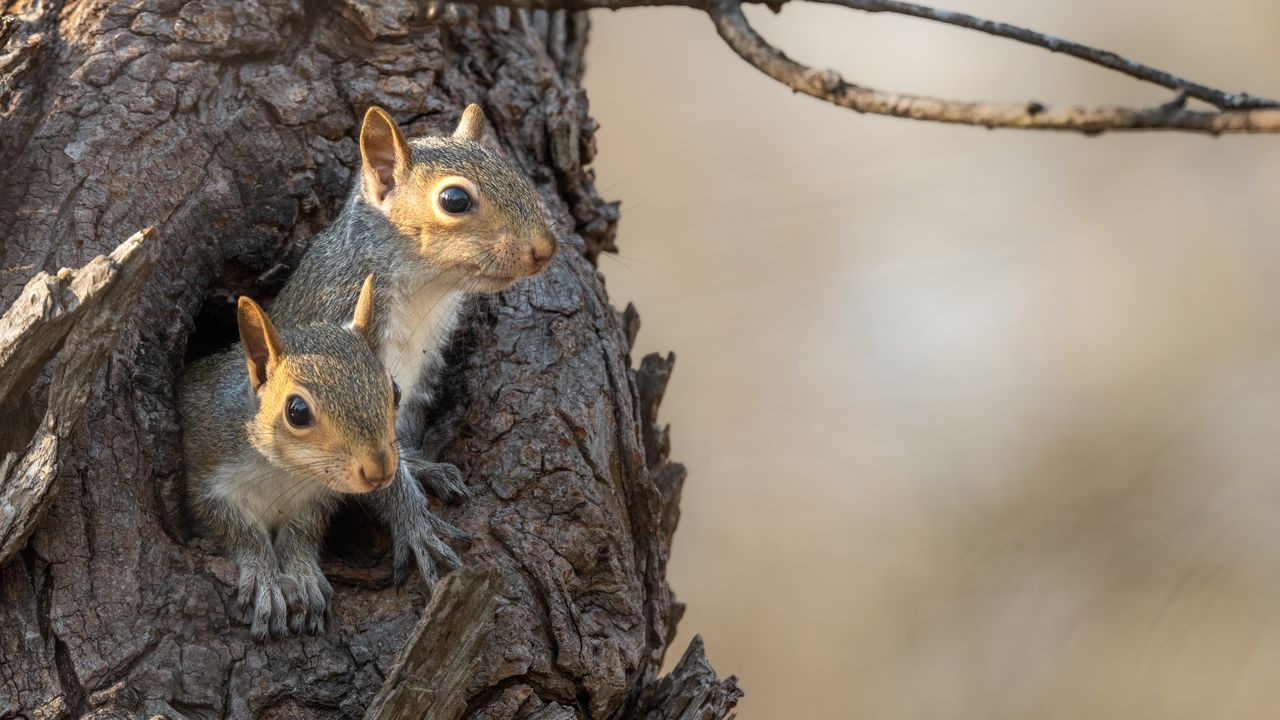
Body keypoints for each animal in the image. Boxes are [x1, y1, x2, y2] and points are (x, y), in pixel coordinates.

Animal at [175, 272, 442, 632]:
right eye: (297, 412)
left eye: (395, 390)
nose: (381, 470)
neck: (287, 473)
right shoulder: (205, 479)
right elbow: (238, 530)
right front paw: (264, 579)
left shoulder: (317, 498)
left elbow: (303, 532)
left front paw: (301, 575)